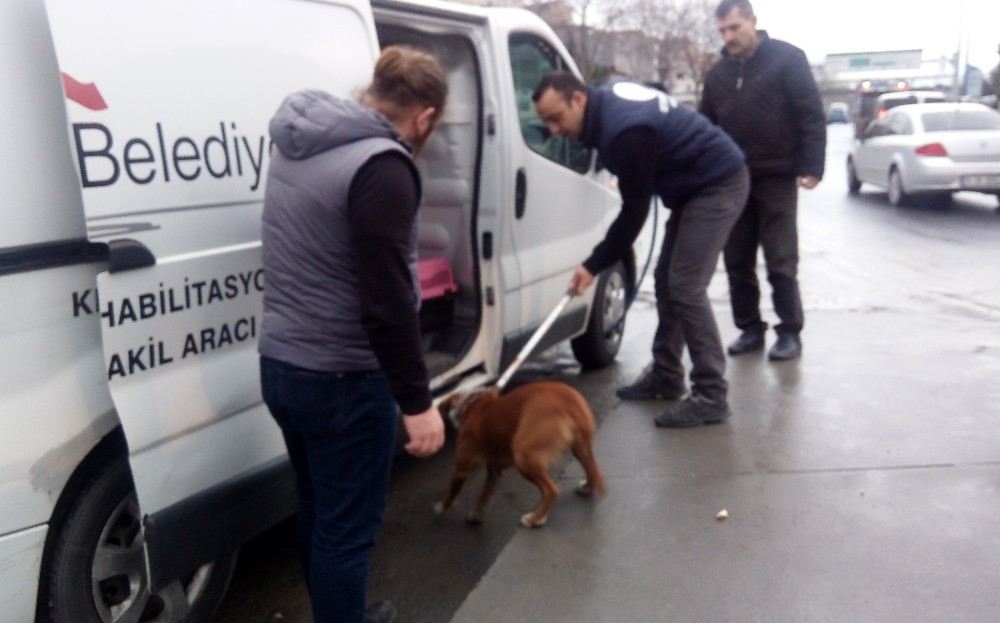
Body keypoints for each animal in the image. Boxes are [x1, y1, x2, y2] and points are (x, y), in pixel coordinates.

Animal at [434, 382, 604, 528]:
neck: (472, 403)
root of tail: (570, 402)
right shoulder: (494, 471)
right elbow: (484, 495)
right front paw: (476, 514)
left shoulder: (462, 467)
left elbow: (452, 493)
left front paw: (441, 507)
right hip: (580, 448)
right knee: (592, 471)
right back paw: (587, 488)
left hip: (524, 458)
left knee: (551, 490)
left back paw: (535, 519)